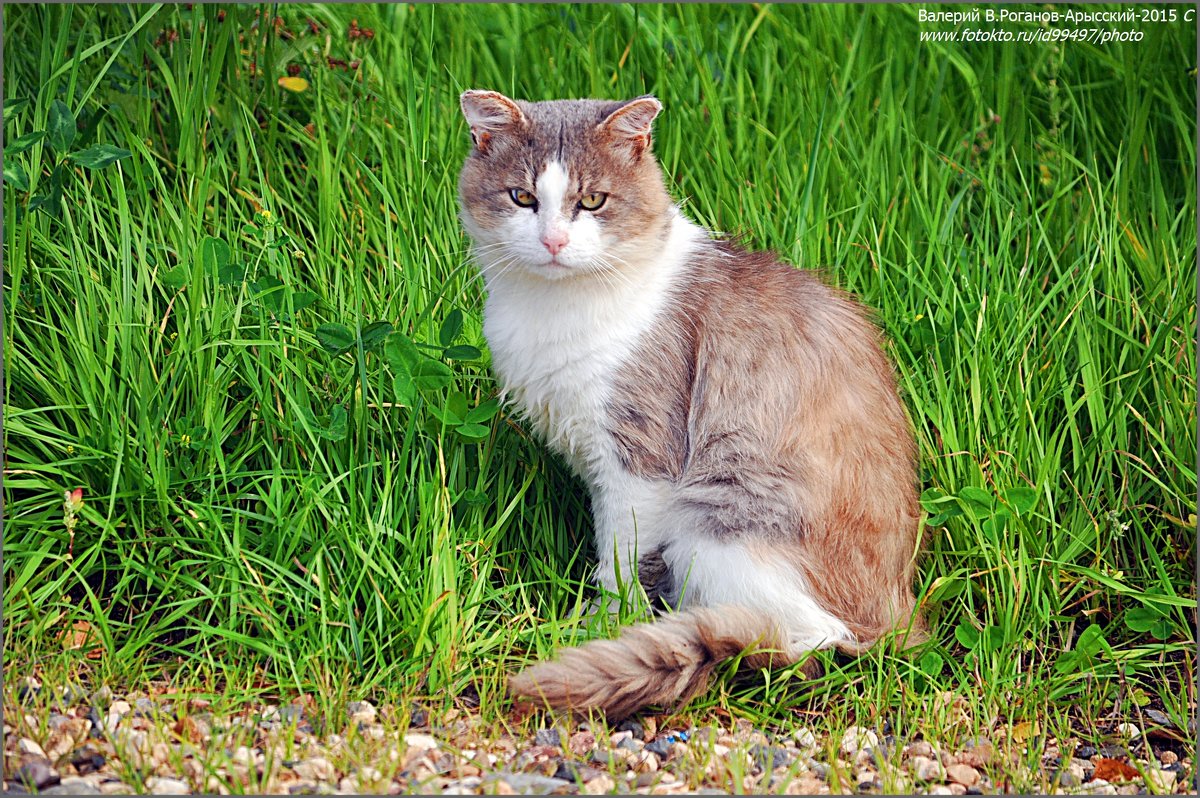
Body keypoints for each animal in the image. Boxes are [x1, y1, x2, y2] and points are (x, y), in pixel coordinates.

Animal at [453, 90, 921, 720]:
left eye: (592, 201)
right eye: (522, 198)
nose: (553, 242)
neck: (552, 309)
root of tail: (893, 625)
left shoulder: (639, 460)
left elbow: (620, 561)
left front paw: (606, 623)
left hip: (718, 516)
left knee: (809, 639)